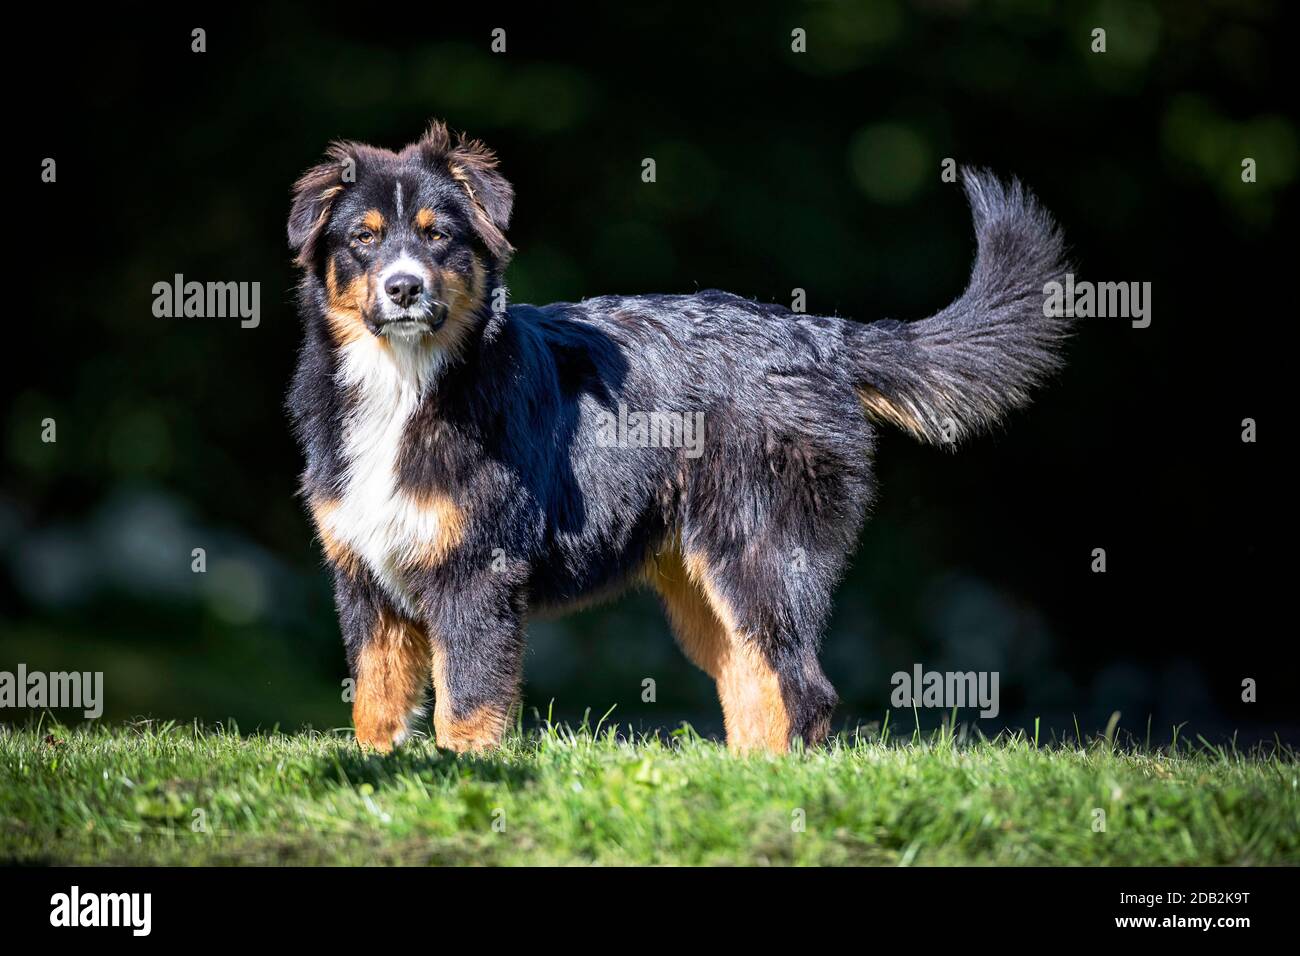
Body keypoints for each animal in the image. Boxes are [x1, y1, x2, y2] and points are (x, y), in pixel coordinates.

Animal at [289, 119, 1071, 754]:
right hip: (704, 585)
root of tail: (816, 336)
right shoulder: (363, 574)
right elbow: (375, 701)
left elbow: (468, 704)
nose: (403, 288)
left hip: (759, 555)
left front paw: (464, 776)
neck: (407, 383)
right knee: (755, 685)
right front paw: (377, 773)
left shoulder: (480, 570)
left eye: (437, 234)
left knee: (803, 690)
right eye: (362, 238)